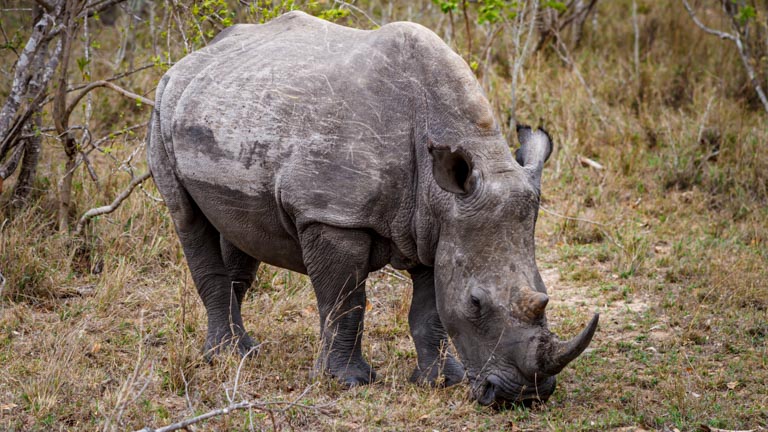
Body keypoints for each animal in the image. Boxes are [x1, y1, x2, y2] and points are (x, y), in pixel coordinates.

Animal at [147, 10, 598, 406]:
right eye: (476, 303)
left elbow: (429, 310)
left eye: (544, 292)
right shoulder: (333, 215)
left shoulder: (435, 224)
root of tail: (192, 57)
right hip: (161, 104)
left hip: (229, 106)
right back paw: (227, 356)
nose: (522, 397)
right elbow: (346, 301)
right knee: (186, 216)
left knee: (238, 232)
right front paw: (347, 382)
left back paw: (244, 350)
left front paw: (440, 381)